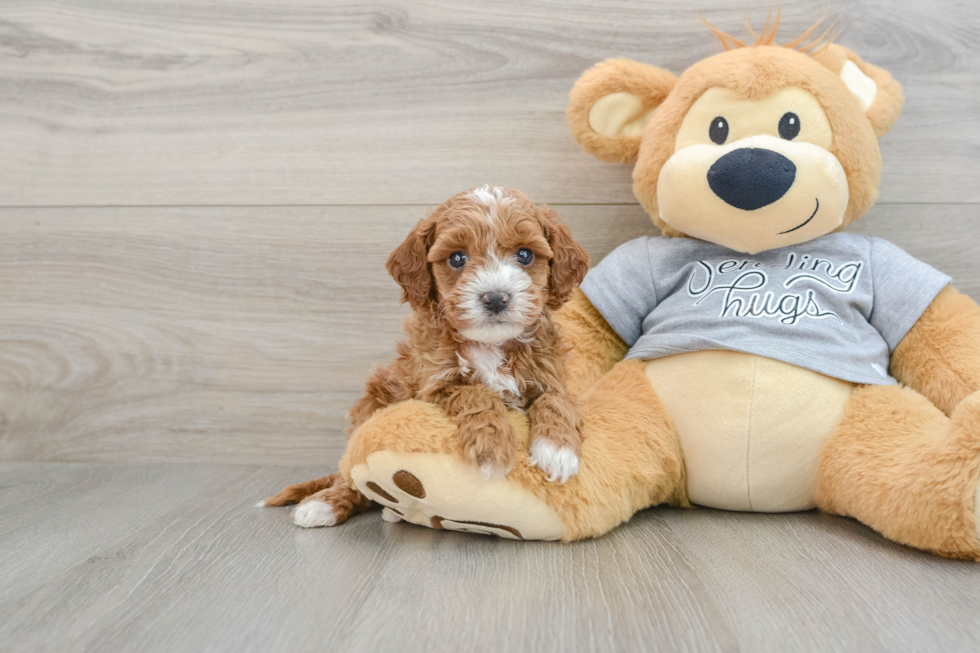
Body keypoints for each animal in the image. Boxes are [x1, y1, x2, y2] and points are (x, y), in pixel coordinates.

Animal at [260, 186, 592, 528]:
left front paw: (557, 449)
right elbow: (476, 394)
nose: (496, 298)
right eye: (457, 258)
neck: (491, 345)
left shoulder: (550, 376)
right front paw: (491, 448)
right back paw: (327, 503)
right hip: (368, 414)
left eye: (525, 254)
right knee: (349, 475)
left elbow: (555, 401)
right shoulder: (432, 385)